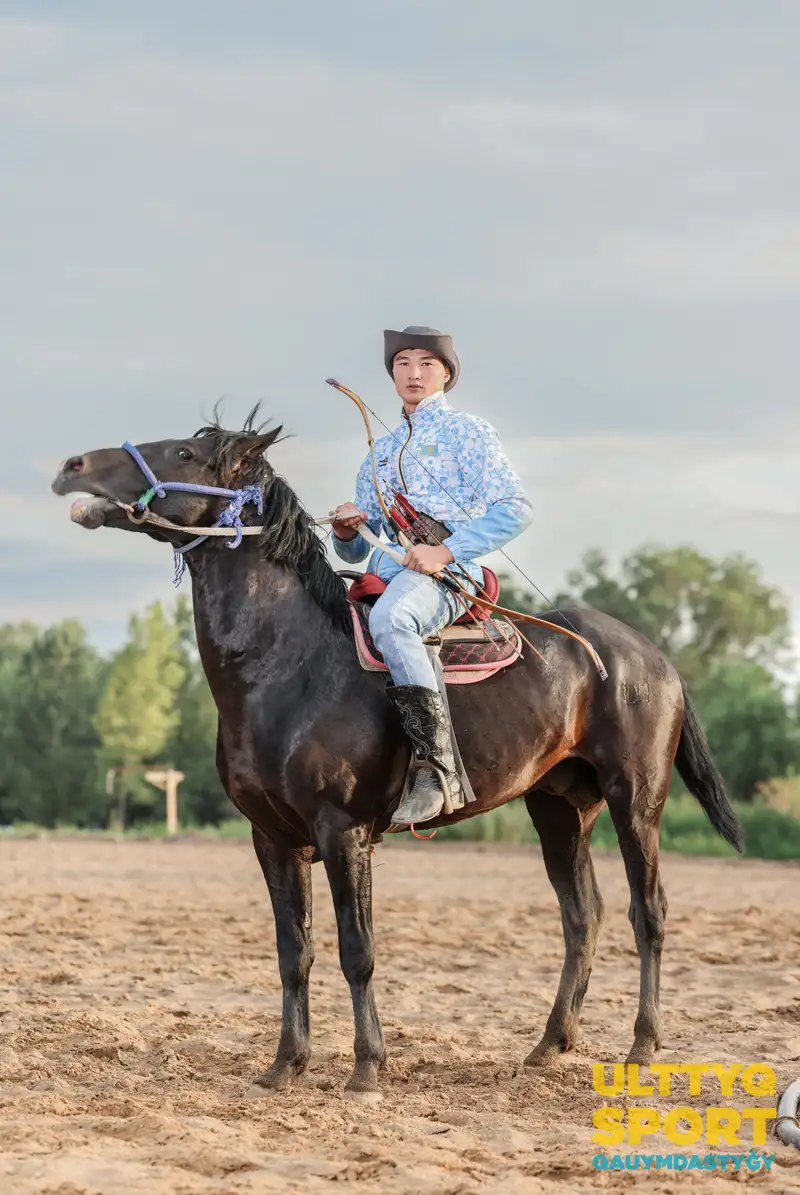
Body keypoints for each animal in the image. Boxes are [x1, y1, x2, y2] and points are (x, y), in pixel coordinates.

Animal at [52, 413, 746, 1099]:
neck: (290, 665)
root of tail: (651, 657)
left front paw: (367, 1067)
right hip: (559, 808)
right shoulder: (272, 838)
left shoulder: (345, 832)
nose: (72, 467)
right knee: (583, 916)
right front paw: (284, 1064)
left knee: (647, 913)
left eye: (184, 453)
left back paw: (642, 1046)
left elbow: (356, 950)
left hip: (637, 801)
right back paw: (551, 1044)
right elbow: (293, 952)